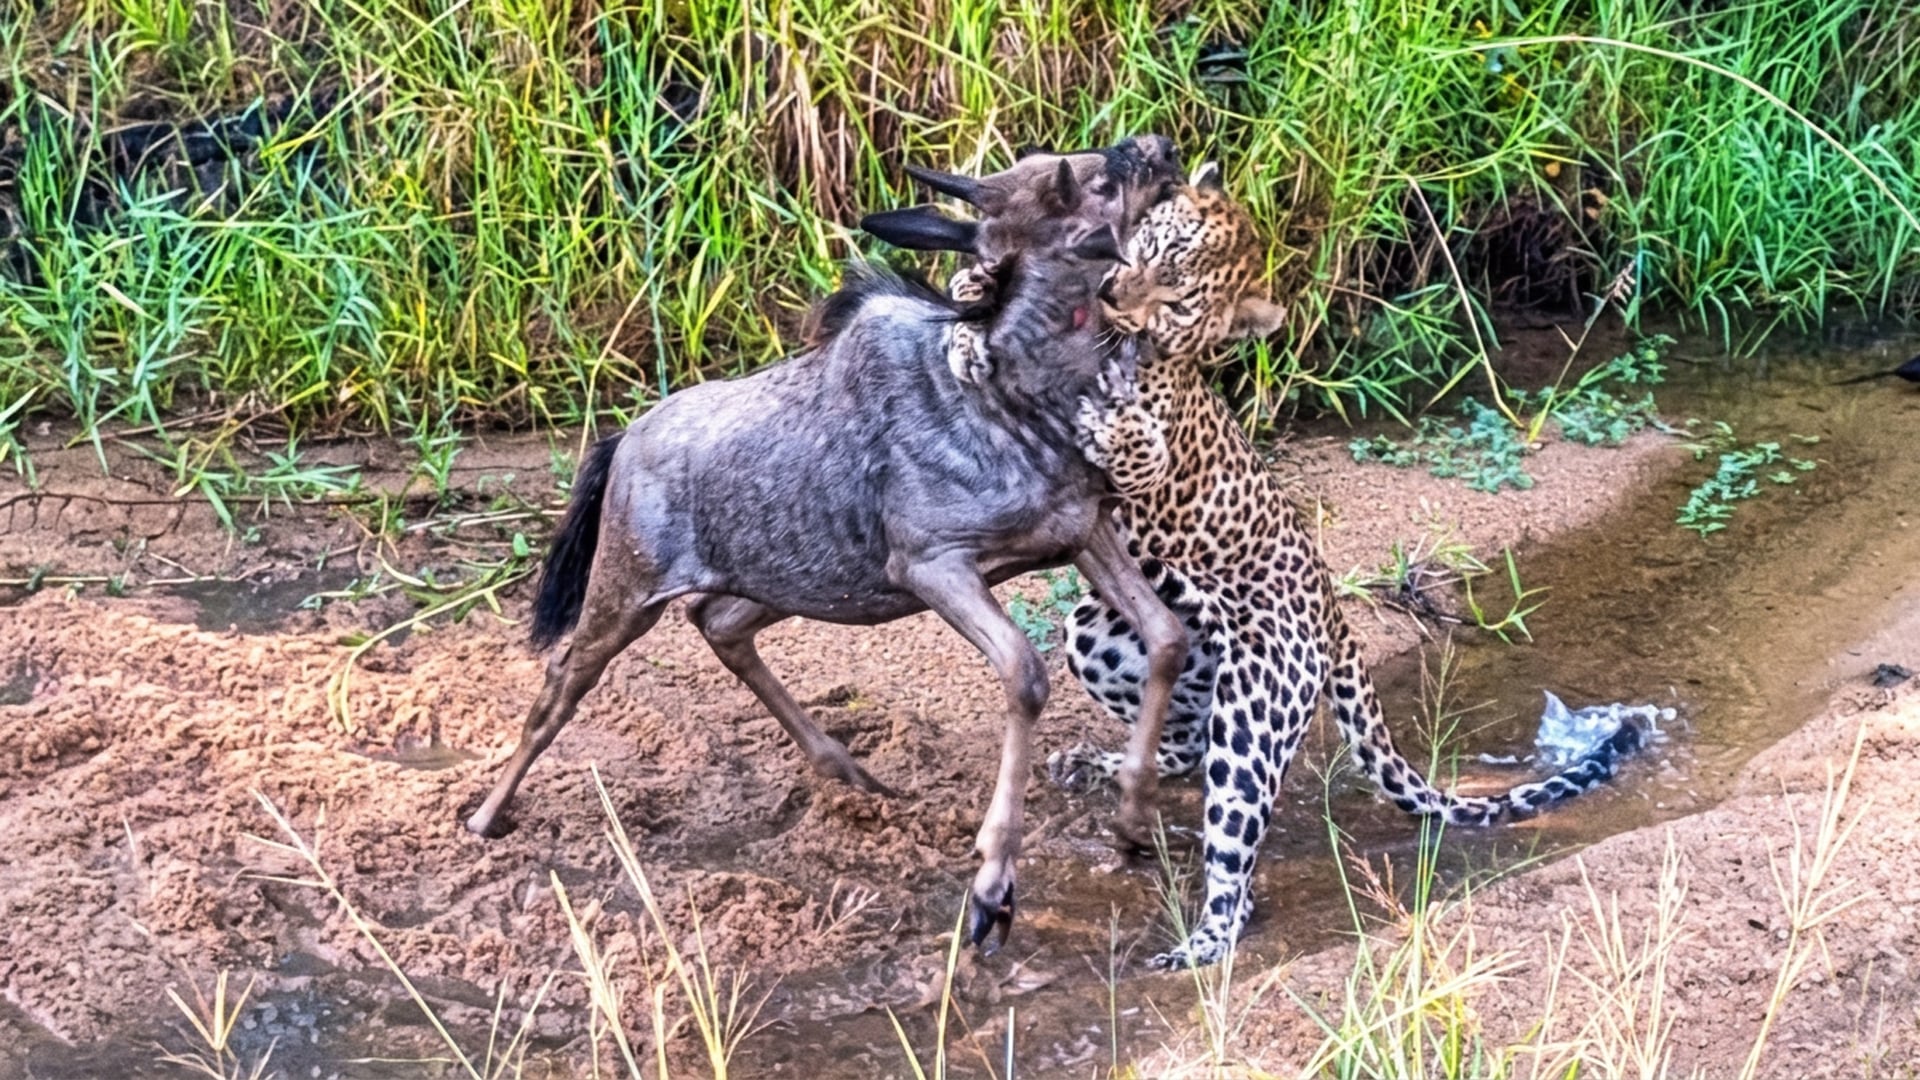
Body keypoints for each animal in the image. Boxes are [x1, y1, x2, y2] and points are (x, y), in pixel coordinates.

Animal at [949, 162, 1645, 970]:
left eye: (1179, 297)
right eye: (1150, 245)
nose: (1116, 295)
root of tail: (1335, 615)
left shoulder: (1148, 465)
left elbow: (1129, 436)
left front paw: (1100, 402)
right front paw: (971, 300)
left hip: (1255, 711)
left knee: (1233, 856)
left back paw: (1197, 943)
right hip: (1099, 632)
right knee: (1182, 745)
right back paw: (1106, 765)